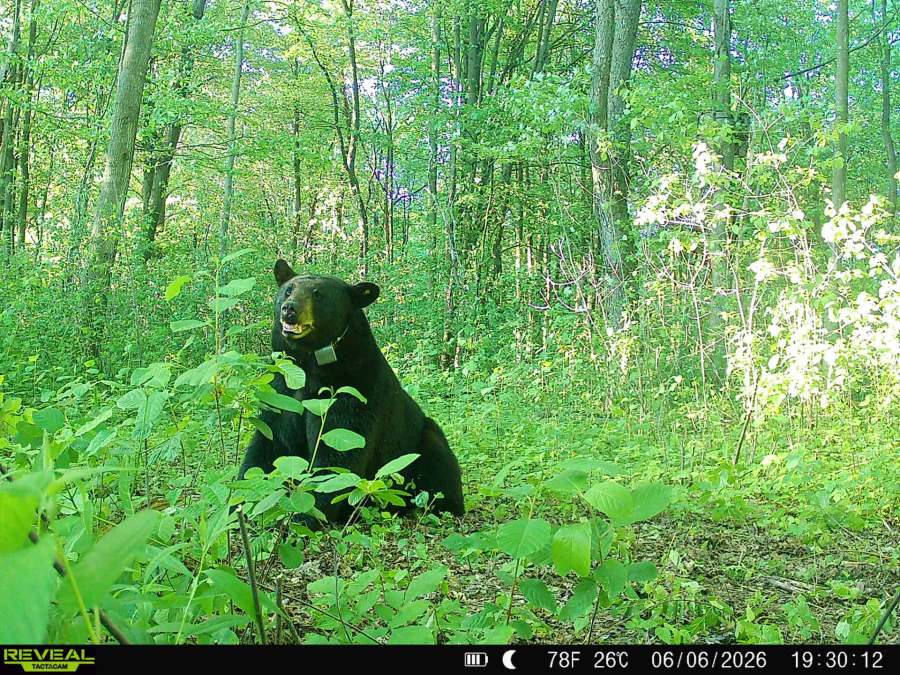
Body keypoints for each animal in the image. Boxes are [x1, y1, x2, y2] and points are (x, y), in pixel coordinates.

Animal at [237, 259, 465, 524]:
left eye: (318, 294)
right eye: (288, 290)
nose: (289, 308)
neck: (312, 365)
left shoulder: (356, 387)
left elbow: (338, 452)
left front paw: (304, 517)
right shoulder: (283, 389)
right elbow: (270, 442)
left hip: (421, 440)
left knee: (440, 464)